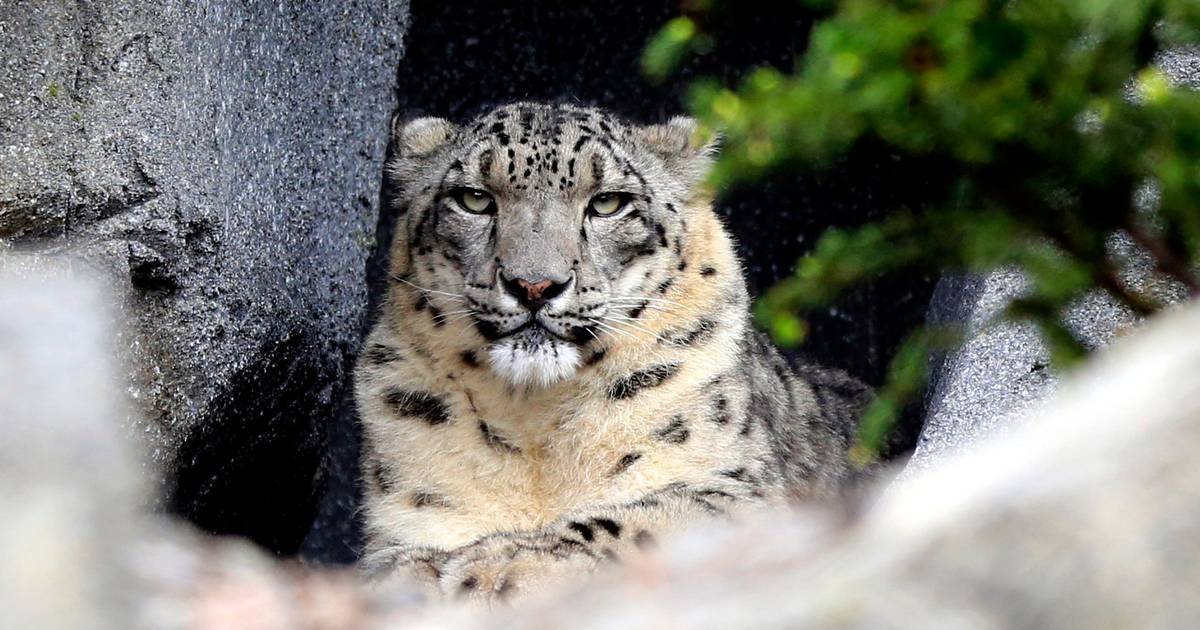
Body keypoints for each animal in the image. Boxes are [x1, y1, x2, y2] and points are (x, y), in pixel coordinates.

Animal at [354, 102, 871, 602]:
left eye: (607, 203)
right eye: (474, 199)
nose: (534, 285)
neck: (532, 422)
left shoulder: (743, 493)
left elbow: (645, 520)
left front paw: (505, 563)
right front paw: (414, 570)